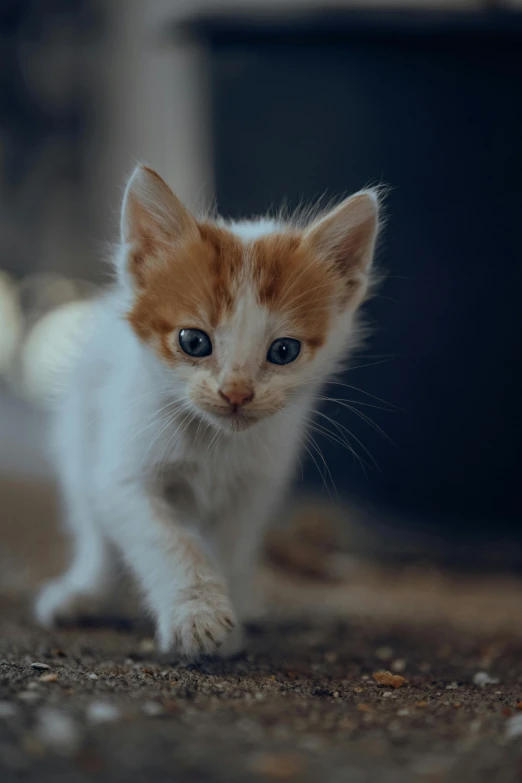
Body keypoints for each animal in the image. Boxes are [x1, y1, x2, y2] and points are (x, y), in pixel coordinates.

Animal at [34, 165, 380, 660]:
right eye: (194, 341)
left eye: (284, 351)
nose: (236, 392)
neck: (213, 443)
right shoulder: (124, 475)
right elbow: (166, 541)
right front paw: (196, 613)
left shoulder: (253, 488)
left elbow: (229, 550)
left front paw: (227, 619)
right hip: (79, 434)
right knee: (93, 527)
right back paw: (84, 593)